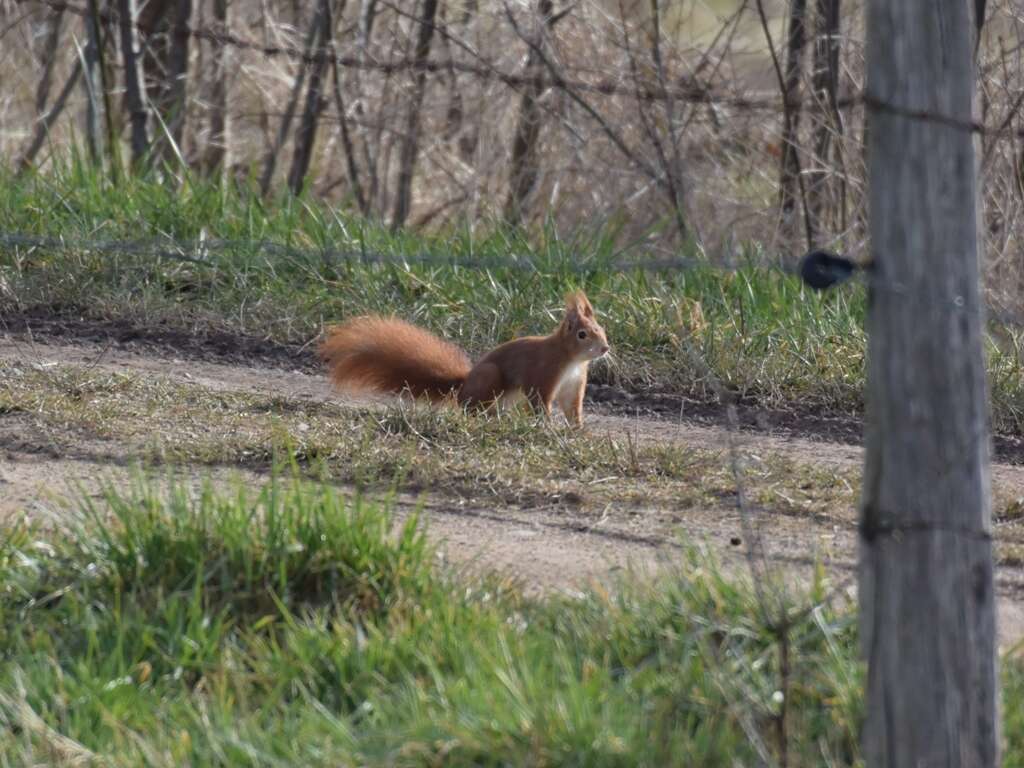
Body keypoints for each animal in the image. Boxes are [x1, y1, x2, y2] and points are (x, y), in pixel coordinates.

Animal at [319, 292, 606, 428]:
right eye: (582, 334)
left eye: (601, 328)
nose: (604, 348)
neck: (571, 359)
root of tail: (462, 387)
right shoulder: (544, 373)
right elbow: (540, 400)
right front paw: (547, 427)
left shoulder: (574, 383)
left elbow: (572, 408)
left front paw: (578, 430)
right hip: (489, 377)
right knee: (471, 408)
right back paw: (485, 416)